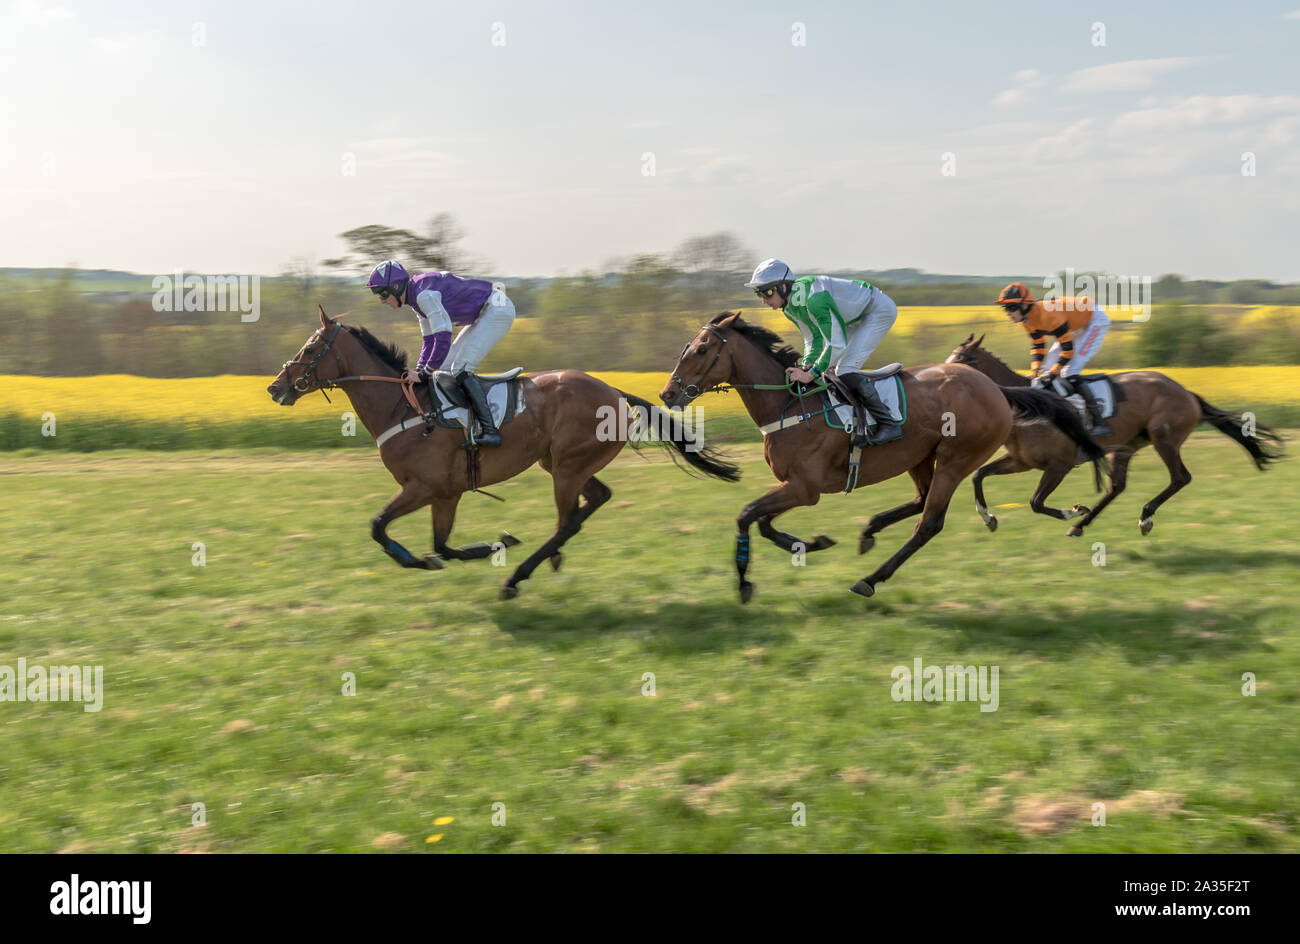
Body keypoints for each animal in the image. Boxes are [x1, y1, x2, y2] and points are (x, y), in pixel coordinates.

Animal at [267, 306, 738, 598]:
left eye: (310, 349)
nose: (275, 386)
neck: (405, 407)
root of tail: (616, 392)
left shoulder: (425, 487)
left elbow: (380, 527)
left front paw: (429, 557)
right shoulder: (446, 493)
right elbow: (442, 546)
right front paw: (488, 545)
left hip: (567, 467)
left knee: (569, 519)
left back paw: (518, 576)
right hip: (561, 462)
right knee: (593, 501)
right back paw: (548, 558)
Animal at [660, 314, 1107, 603]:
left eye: (701, 349)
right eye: (686, 347)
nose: (668, 393)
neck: (792, 405)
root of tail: (996, 389)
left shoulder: (805, 488)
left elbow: (747, 514)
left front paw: (743, 584)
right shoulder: (795, 486)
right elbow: (765, 522)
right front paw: (813, 543)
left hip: (956, 458)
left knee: (930, 522)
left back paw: (870, 579)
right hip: (920, 457)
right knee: (920, 501)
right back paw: (869, 531)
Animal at [946, 335, 1279, 535]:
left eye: (961, 360)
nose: (942, 378)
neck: (1027, 407)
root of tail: (1187, 393)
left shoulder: (1059, 465)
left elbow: (1036, 502)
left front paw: (1072, 511)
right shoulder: (1021, 461)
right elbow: (978, 475)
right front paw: (989, 518)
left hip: (1164, 438)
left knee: (1180, 477)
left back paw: (1143, 516)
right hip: (1126, 446)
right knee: (1116, 486)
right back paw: (1083, 525)